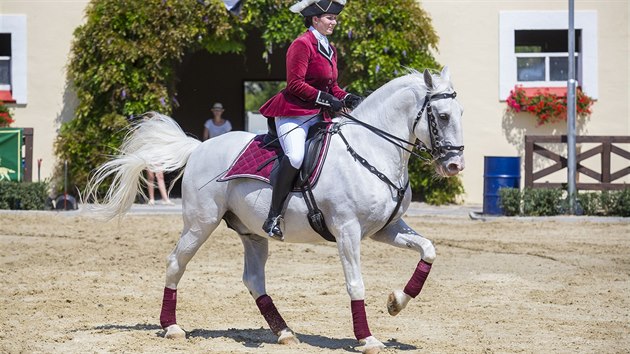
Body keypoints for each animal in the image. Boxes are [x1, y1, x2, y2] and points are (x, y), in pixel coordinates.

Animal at [86, 68, 464, 352]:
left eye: (460, 114)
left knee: (254, 280)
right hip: (200, 223)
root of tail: (199, 147)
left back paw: (284, 332)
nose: (455, 165)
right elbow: (355, 284)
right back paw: (172, 327)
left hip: (251, 232)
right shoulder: (348, 231)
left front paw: (397, 301)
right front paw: (368, 338)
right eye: (443, 116)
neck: (371, 149)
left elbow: (428, 250)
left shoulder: (386, 228)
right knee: (176, 263)